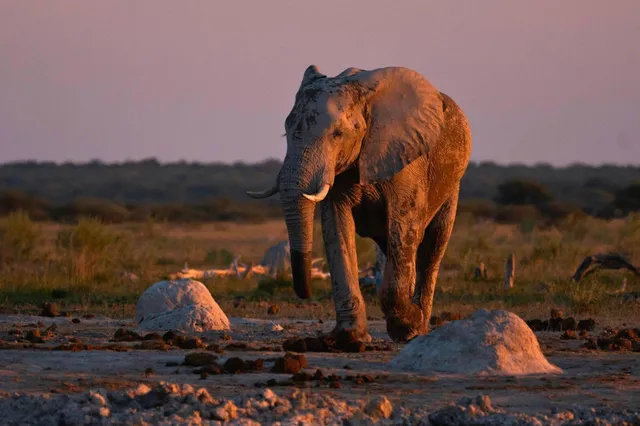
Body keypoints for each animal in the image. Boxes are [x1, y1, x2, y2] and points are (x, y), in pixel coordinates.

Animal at [247, 65, 472, 342]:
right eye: (285, 132)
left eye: (337, 134)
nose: (305, 293)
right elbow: (336, 227)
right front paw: (349, 339)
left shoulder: (407, 162)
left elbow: (403, 225)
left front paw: (408, 326)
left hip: (452, 183)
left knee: (431, 245)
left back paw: (418, 328)